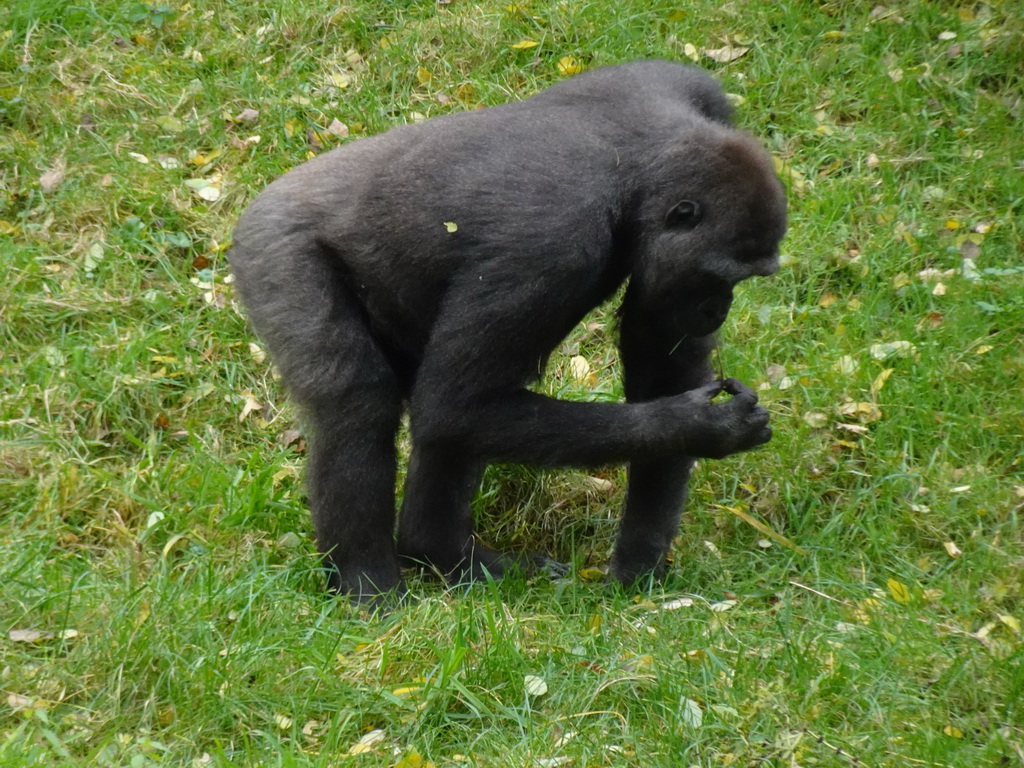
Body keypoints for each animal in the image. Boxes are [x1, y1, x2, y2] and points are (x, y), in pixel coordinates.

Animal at [232, 61, 786, 602]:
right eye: (717, 278)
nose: (717, 310)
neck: (637, 171)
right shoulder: (551, 246)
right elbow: (456, 406)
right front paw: (699, 426)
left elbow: (659, 353)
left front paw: (641, 557)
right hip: (274, 252)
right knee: (359, 403)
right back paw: (368, 583)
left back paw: (442, 553)